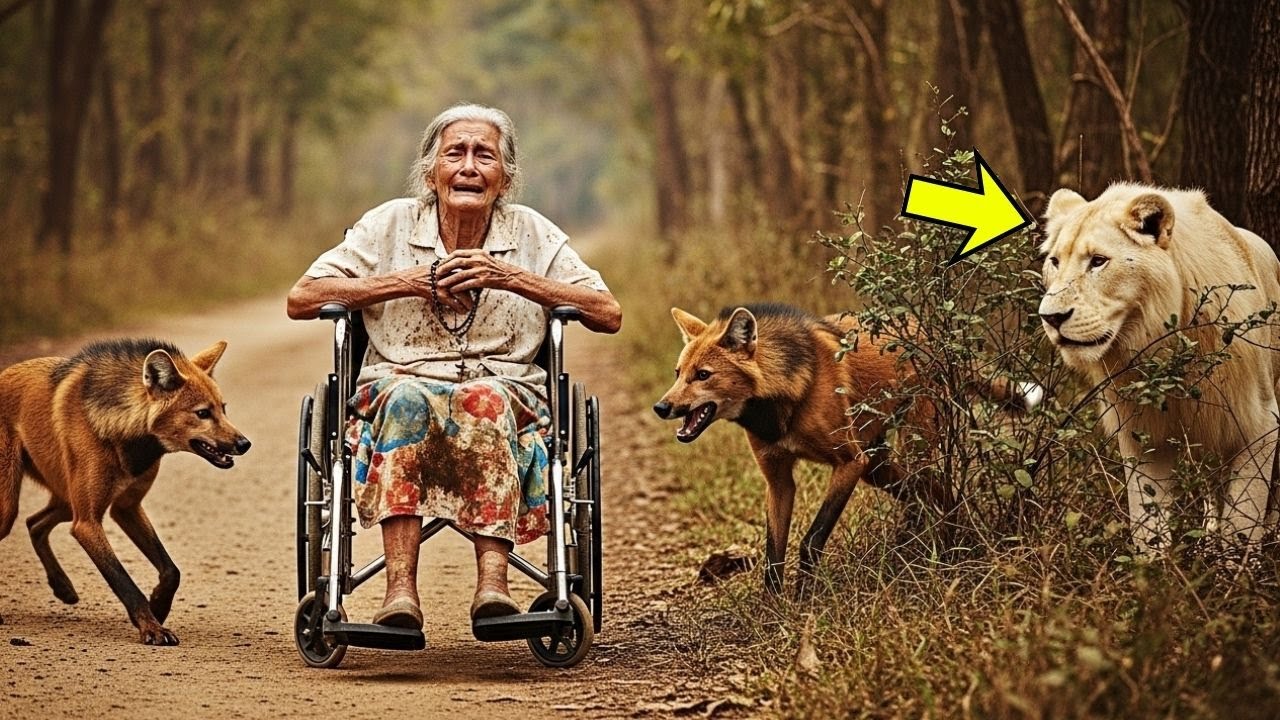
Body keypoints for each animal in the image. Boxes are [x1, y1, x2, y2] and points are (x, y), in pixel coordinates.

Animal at [1038, 183, 1280, 554]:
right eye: (1055, 261)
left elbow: (1243, 518)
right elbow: (1146, 521)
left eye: (1098, 261)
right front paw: (1155, 568)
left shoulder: (1261, 419)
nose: (1050, 317)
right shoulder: (1141, 431)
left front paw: (1236, 567)